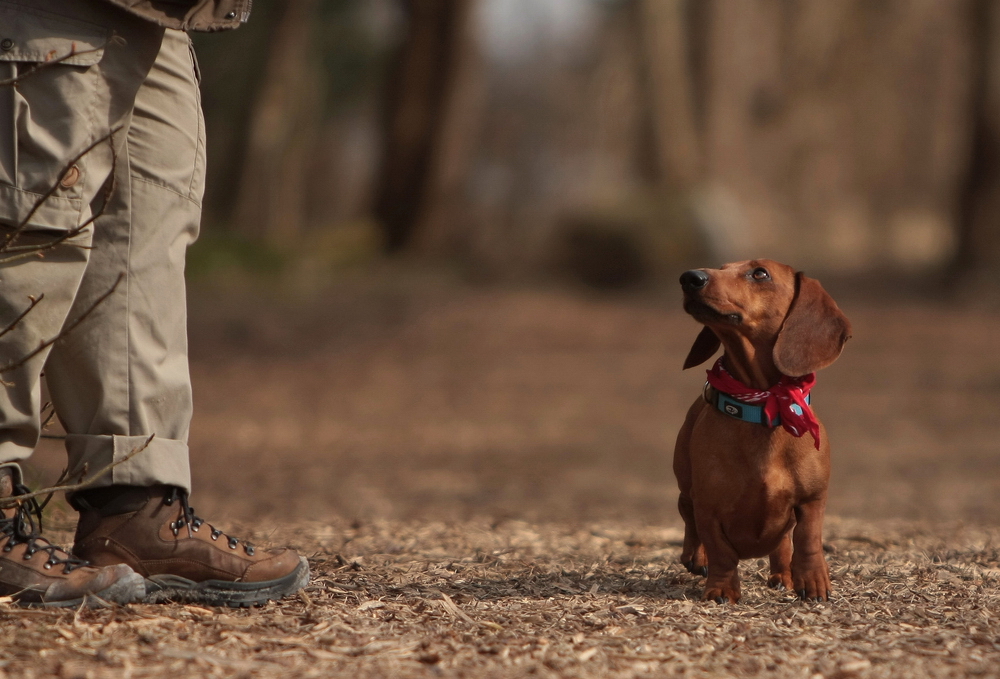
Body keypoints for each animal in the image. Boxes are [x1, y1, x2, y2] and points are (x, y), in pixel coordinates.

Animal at [672, 260, 852, 604]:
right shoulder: (708, 506)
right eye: (721, 267)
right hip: (685, 485)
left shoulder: (812, 500)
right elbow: (720, 550)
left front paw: (814, 582)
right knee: (688, 519)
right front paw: (721, 588)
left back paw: (783, 576)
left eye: (759, 273)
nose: (689, 278)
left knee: (782, 545)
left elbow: (807, 540)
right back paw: (695, 557)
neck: (762, 405)